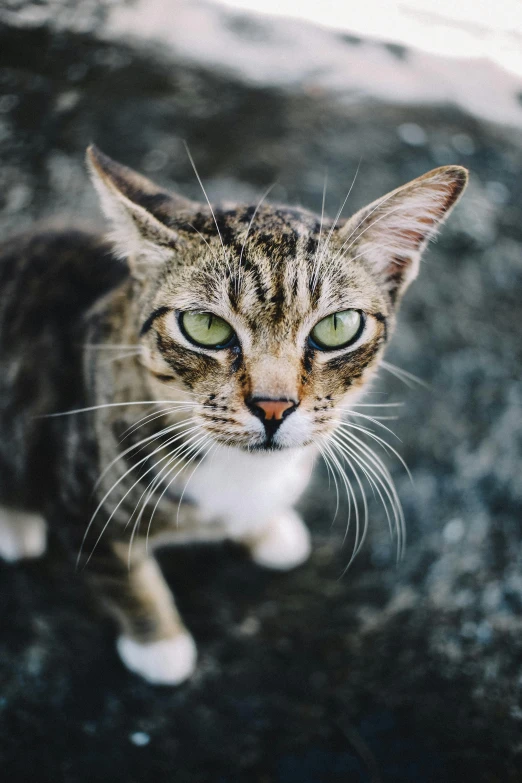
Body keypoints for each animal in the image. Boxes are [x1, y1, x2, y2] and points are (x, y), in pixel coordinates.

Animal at [0, 147, 466, 688]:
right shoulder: (80, 499)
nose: (273, 405)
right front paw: (158, 645)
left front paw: (267, 529)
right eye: (205, 326)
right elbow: (124, 576)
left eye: (337, 327)